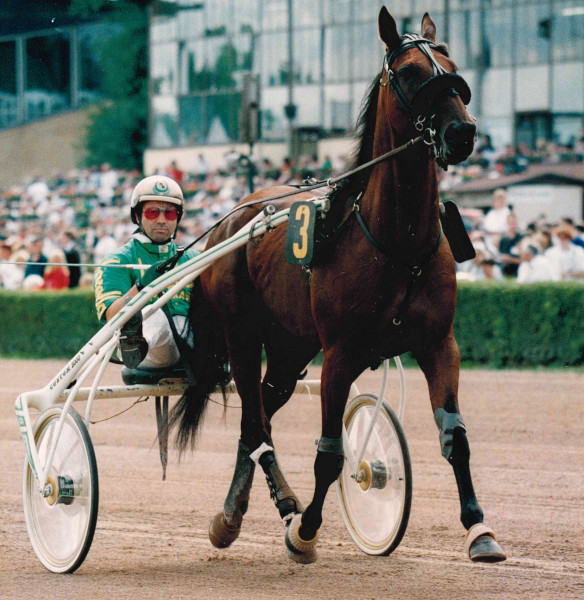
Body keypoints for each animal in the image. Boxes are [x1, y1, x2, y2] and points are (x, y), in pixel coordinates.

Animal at [170, 7, 506, 564]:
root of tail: (232, 217)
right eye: (409, 73)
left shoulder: (439, 343)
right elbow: (329, 453)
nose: (462, 132)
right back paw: (277, 509)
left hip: (290, 347)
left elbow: (455, 438)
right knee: (255, 423)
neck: (397, 242)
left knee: (256, 419)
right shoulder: (341, 352)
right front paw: (305, 531)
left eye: (454, 66)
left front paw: (479, 530)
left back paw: (231, 516)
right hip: (243, 337)